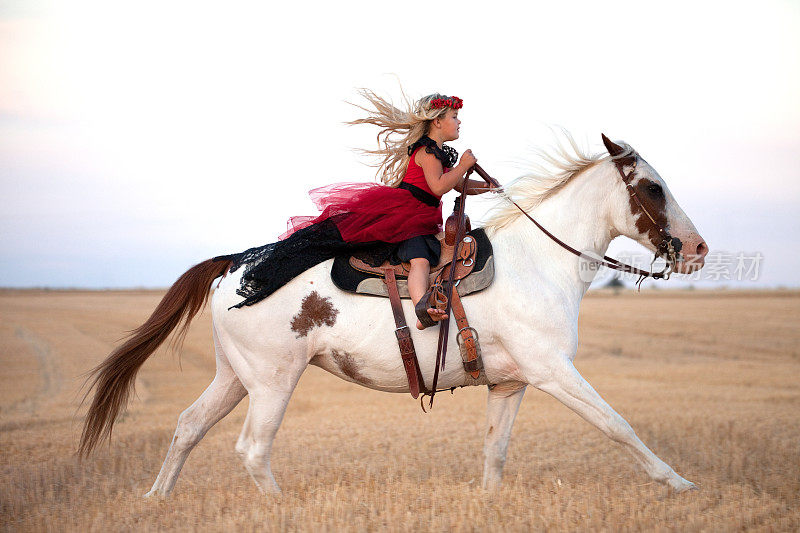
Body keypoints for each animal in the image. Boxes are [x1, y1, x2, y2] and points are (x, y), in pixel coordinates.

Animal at [79, 133, 708, 494]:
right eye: (653, 187)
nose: (698, 248)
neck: (540, 261)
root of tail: (238, 264)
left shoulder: (511, 384)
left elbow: (495, 452)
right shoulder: (554, 371)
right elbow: (618, 425)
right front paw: (679, 484)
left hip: (235, 376)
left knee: (188, 427)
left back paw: (156, 500)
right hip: (273, 381)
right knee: (252, 449)